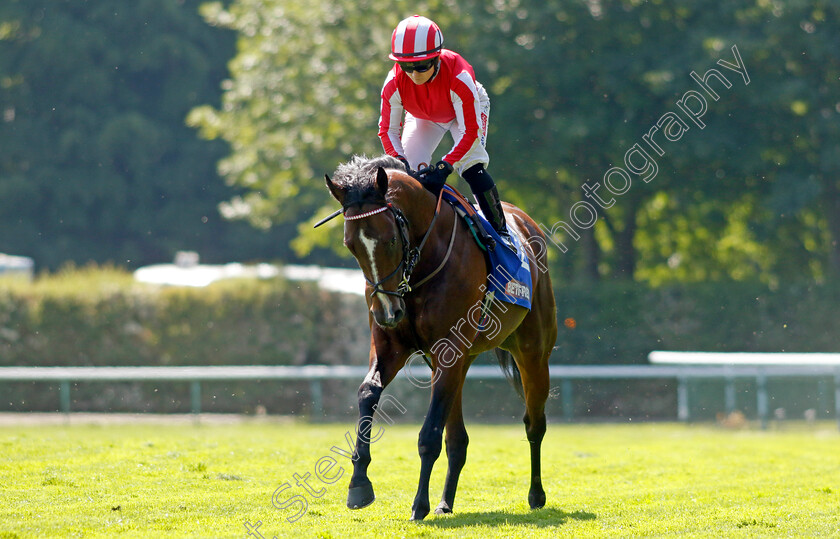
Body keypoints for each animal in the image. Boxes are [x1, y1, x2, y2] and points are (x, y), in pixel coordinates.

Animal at [322, 154, 556, 520]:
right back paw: (446, 502)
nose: (386, 311)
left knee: (535, 423)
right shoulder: (392, 346)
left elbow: (430, 433)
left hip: (533, 352)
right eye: (351, 245)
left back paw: (536, 494)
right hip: (458, 362)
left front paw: (419, 504)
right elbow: (368, 392)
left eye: (390, 240)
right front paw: (359, 483)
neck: (422, 265)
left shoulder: (450, 348)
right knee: (458, 439)